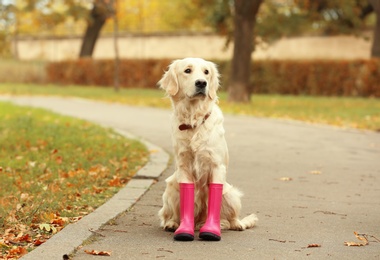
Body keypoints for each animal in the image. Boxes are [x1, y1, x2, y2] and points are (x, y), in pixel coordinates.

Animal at [157, 57, 258, 242]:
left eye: (206, 72)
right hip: (171, 187)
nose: (201, 83)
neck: (194, 121)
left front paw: (212, 231)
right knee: (170, 215)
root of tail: (199, 222)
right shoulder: (184, 166)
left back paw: (234, 224)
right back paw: (173, 224)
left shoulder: (217, 166)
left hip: (230, 194)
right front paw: (183, 230)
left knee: (231, 219)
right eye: (187, 70)